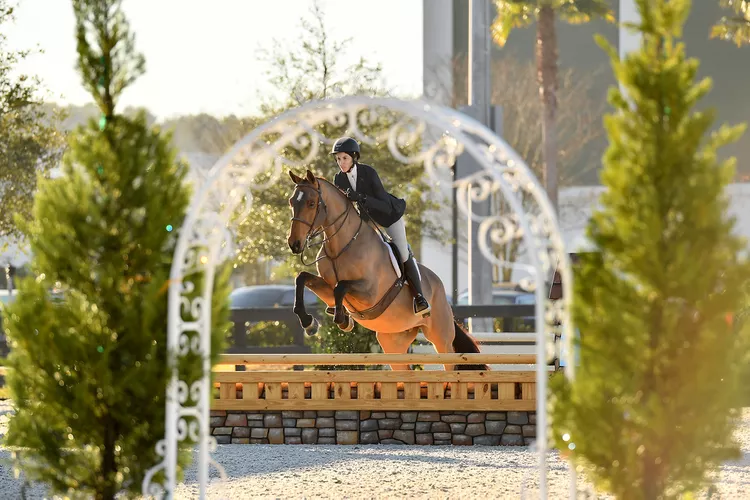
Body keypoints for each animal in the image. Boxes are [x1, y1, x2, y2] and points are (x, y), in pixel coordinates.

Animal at [286, 169, 487, 371]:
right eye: (292, 201)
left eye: (311, 203)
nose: (294, 244)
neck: (341, 246)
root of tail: (440, 288)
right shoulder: (327, 288)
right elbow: (302, 278)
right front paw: (309, 323)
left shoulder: (369, 293)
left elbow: (341, 287)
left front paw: (342, 320)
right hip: (393, 341)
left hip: (441, 338)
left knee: (450, 360)